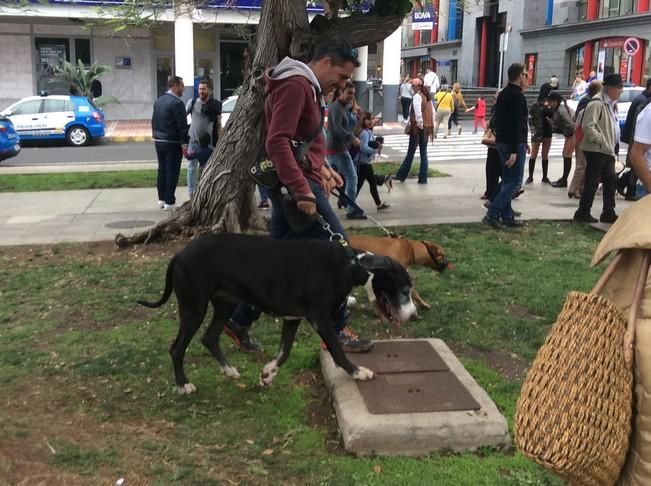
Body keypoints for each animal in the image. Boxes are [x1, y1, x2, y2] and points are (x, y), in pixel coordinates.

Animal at [138, 233, 416, 394]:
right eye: (404, 290)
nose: (414, 316)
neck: (350, 264)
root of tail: (180, 253)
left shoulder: (292, 318)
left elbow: (284, 352)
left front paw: (268, 374)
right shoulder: (320, 318)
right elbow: (337, 350)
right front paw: (357, 372)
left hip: (224, 304)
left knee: (209, 337)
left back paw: (229, 371)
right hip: (194, 307)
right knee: (177, 348)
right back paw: (183, 384)